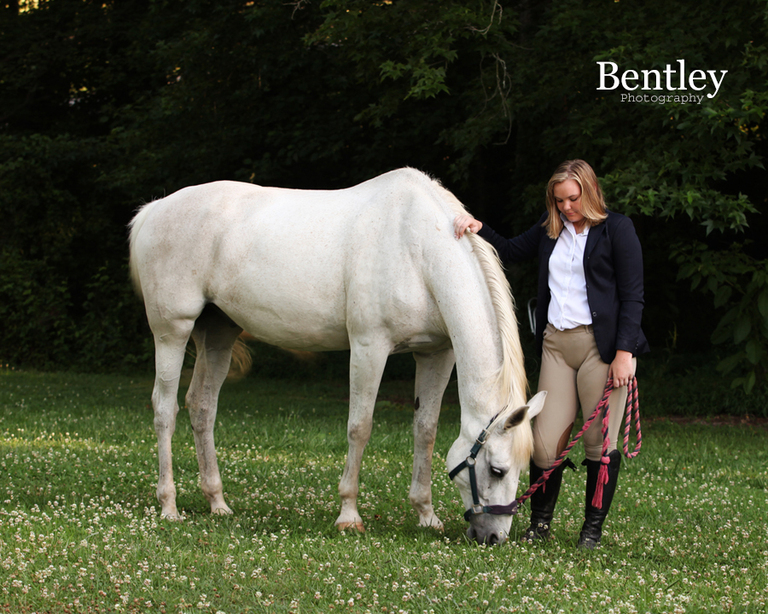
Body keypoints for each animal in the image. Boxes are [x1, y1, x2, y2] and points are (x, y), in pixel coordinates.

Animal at [128, 168, 546, 545]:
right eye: (497, 470)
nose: (493, 537)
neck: (417, 249)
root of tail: (155, 209)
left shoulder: (436, 354)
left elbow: (425, 431)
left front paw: (426, 515)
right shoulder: (368, 347)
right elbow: (359, 427)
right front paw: (349, 516)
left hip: (217, 335)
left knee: (201, 407)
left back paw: (217, 503)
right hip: (173, 332)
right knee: (164, 409)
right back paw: (169, 506)